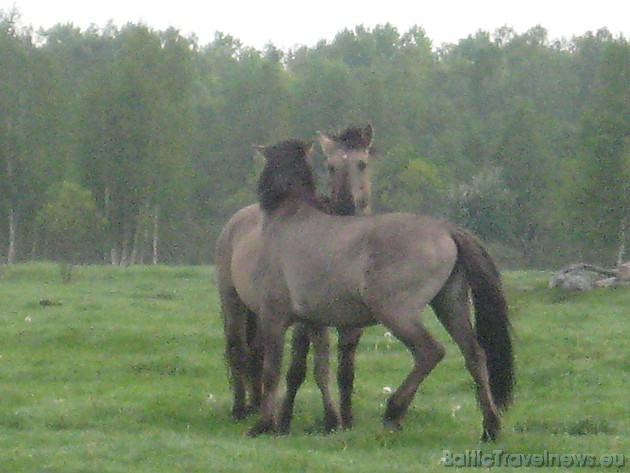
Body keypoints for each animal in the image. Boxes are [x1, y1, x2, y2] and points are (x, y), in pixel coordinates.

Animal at [215, 122, 378, 432]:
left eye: (362, 164)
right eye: (330, 166)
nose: (345, 205)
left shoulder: (349, 326)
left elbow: (344, 370)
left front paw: (345, 419)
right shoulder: (305, 322)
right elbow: (297, 368)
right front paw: (286, 418)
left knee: (257, 353)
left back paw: (256, 404)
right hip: (233, 302)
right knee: (238, 349)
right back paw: (241, 408)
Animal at [249, 138, 516, 440]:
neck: (288, 216)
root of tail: (446, 229)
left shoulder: (273, 316)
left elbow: (271, 371)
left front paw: (263, 425)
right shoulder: (314, 321)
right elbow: (320, 369)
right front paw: (331, 421)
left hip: (397, 313)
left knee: (430, 352)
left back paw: (393, 412)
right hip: (451, 305)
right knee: (475, 356)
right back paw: (490, 427)